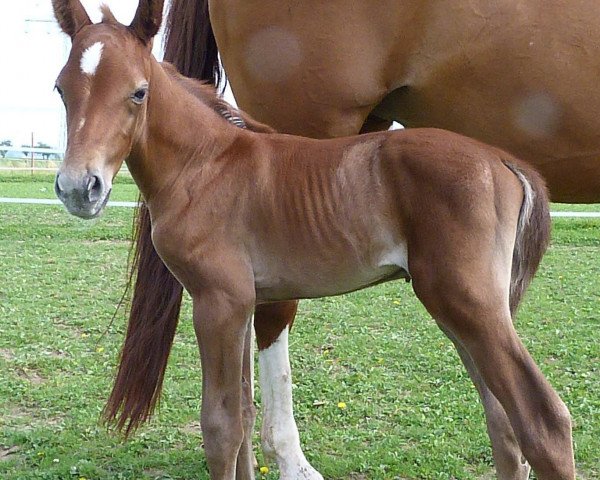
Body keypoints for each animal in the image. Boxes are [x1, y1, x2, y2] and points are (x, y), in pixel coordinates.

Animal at [52, 0, 576, 478]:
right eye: (61, 89)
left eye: (138, 92)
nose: (80, 188)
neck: (204, 163)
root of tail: (503, 160)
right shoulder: (243, 302)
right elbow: (243, 418)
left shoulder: (217, 300)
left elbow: (220, 428)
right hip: (461, 310)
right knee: (503, 424)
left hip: (469, 303)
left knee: (542, 421)